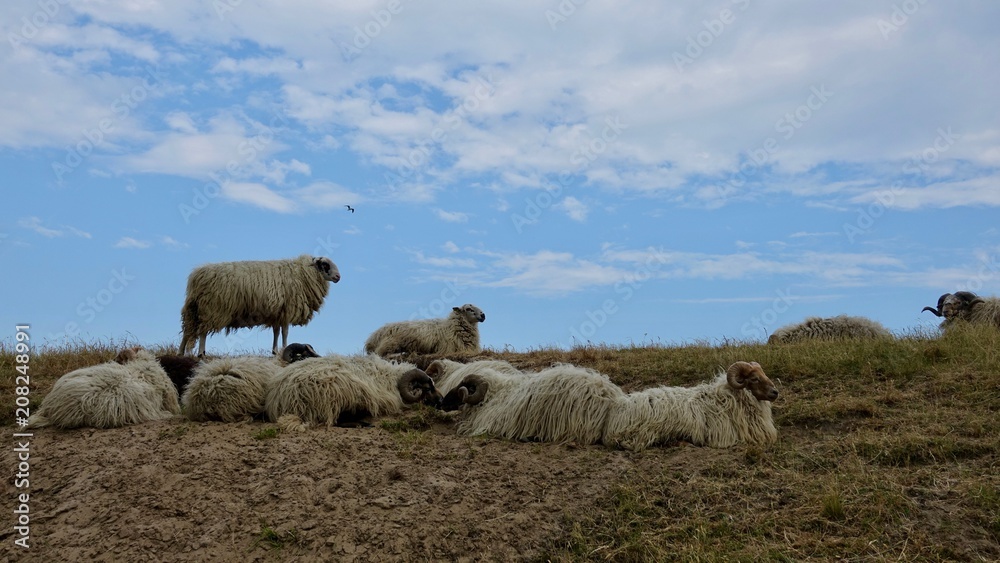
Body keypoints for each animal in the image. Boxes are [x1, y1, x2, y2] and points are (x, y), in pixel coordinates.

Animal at [179, 255, 341, 357]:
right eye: (325, 265)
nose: (338, 277)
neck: (303, 274)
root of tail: (196, 277)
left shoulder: (277, 313)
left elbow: (276, 332)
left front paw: (275, 351)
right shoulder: (287, 311)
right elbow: (285, 332)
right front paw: (283, 348)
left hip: (193, 309)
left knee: (187, 331)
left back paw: (180, 352)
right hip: (211, 308)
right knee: (203, 332)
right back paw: (201, 353)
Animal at [264, 355, 443, 430]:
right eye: (428, 388)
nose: (442, 400)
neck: (392, 379)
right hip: (337, 394)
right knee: (336, 421)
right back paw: (362, 423)